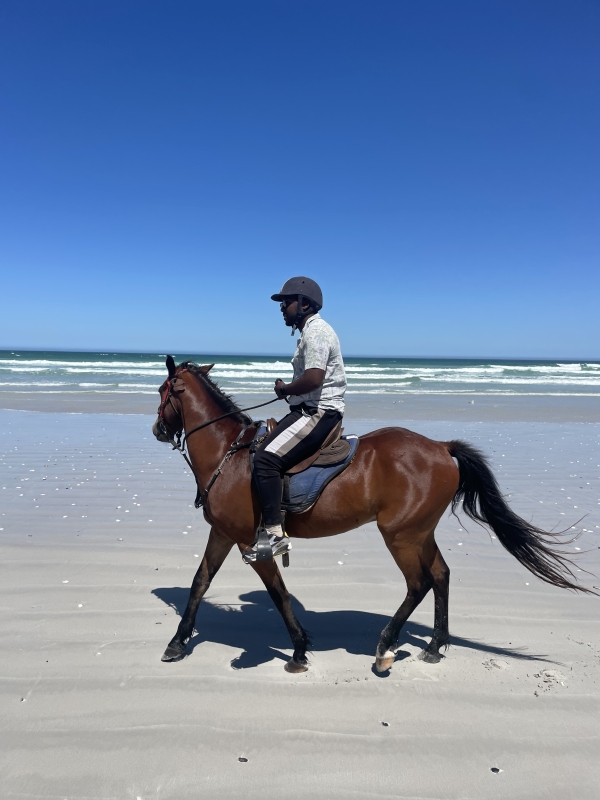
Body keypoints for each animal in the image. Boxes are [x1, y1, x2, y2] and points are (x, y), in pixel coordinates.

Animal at [152, 356, 591, 674]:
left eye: (161, 391)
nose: (157, 429)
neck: (230, 455)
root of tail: (440, 446)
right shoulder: (224, 534)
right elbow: (200, 582)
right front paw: (177, 642)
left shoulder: (251, 542)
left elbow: (278, 593)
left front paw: (299, 650)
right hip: (419, 532)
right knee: (441, 575)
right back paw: (434, 646)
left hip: (399, 535)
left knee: (418, 583)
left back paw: (385, 649)